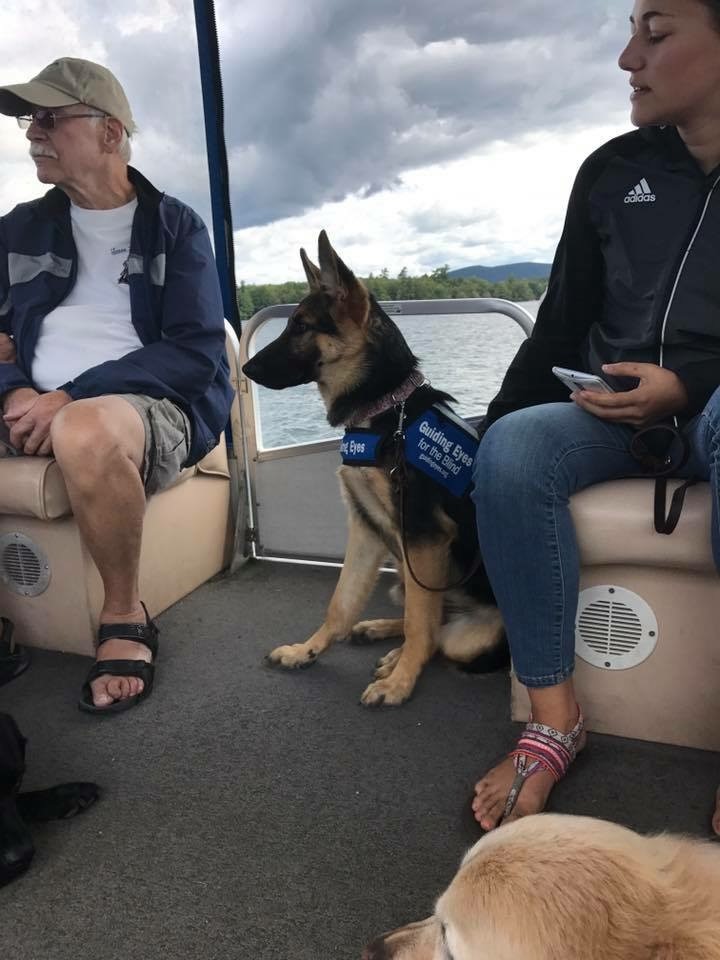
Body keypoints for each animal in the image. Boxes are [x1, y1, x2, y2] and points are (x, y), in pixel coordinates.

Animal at [243, 232, 506, 704]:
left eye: (301, 327)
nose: (244, 367)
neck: (386, 409)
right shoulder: (366, 528)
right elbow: (341, 604)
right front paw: (306, 651)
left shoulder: (423, 536)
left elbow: (421, 627)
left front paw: (400, 682)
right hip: (403, 574)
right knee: (430, 618)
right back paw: (382, 635)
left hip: (455, 617)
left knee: (438, 633)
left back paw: (397, 658)